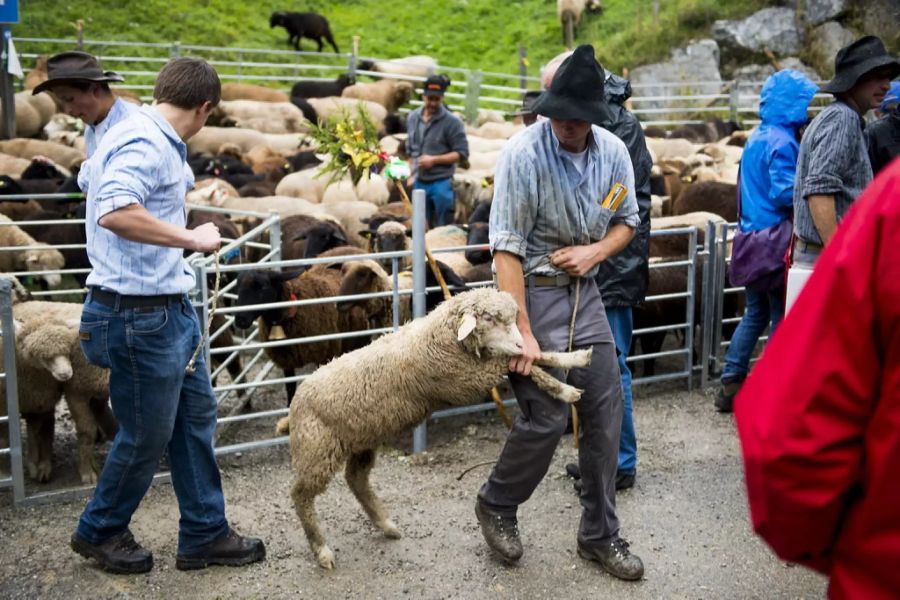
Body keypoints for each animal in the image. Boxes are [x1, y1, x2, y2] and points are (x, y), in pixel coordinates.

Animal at [278, 286, 596, 568]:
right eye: (489, 318)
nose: (520, 342)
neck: (444, 336)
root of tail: (294, 406)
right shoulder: (465, 380)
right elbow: (515, 362)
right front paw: (565, 387)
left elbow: (530, 358)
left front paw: (573, 359)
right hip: (317, 451)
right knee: (300, 495)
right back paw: (322, 549)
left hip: (362, 440)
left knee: (356, 479)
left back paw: (386, 524)